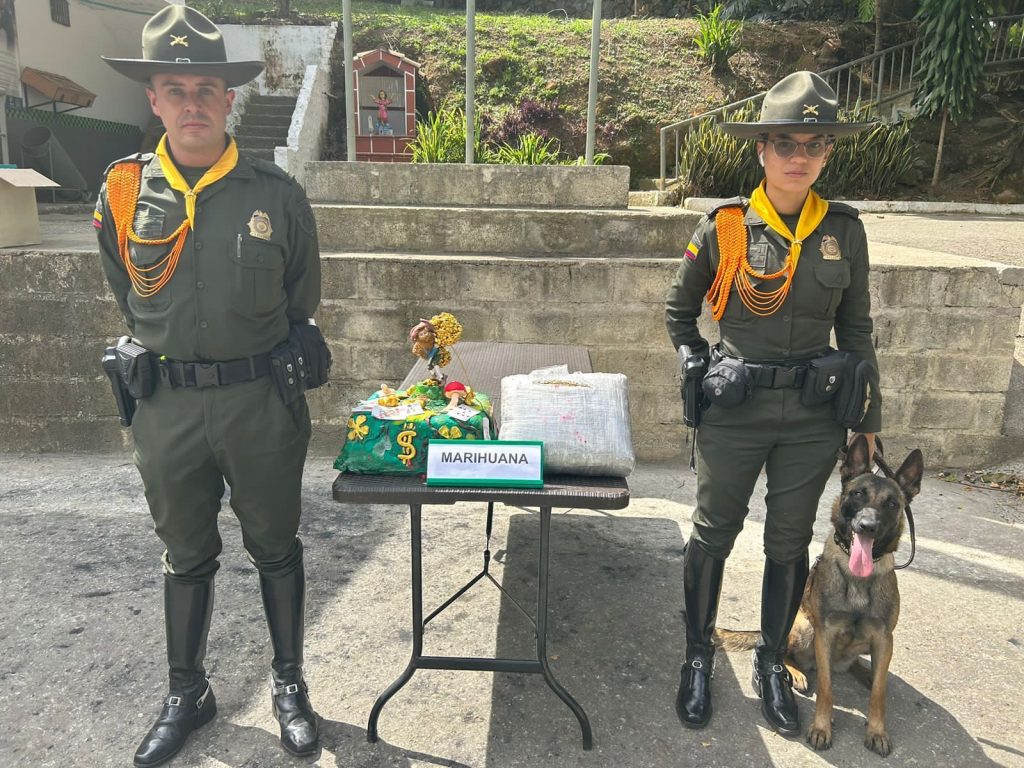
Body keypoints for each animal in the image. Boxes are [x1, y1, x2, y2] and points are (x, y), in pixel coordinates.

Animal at [716, 436, 925, 761]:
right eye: (858, 494)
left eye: (892, 503)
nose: (867, 526)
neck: (857, 577)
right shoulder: (824, 633)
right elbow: (826, 687)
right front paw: (822, 727)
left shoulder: (884, 637)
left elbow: (878, 693)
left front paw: (877, 731)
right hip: (805, 627)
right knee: (785, 652)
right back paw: (795, 673)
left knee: (862, 666)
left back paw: (866, 672)